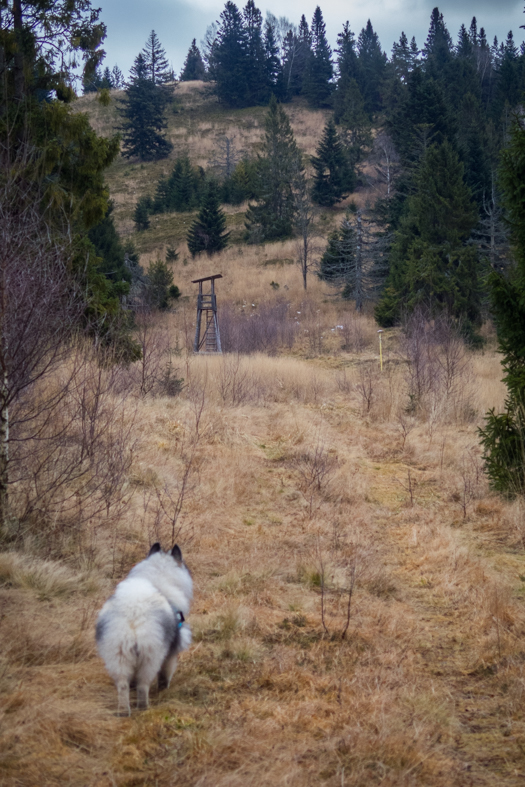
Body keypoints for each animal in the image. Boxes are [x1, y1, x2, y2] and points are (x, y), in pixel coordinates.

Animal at [95, 540, 191, 716]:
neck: (159, 579)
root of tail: (134, 615)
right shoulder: (171, 652)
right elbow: (165, 673)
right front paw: (164, 689)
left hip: (118, 655)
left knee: (123, 686)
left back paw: (124, 711)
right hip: (150, 657)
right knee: (143, 685)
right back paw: (143, 707)